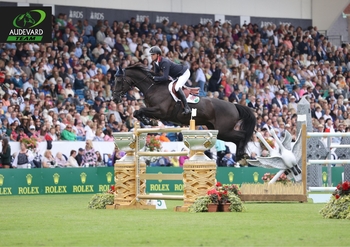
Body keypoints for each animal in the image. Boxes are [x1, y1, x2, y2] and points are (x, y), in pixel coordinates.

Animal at [113, 63, 256, 158]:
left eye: (119, 80)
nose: (114, 98)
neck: (153, 87)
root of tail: (234, 106)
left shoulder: (161, 111)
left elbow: (140, 110)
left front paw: (148, 120)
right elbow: (137, 112)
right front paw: (149, 121)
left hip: (224, 130)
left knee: (242, 135)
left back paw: (242, 155)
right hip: (218, 130)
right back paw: (240, 156)